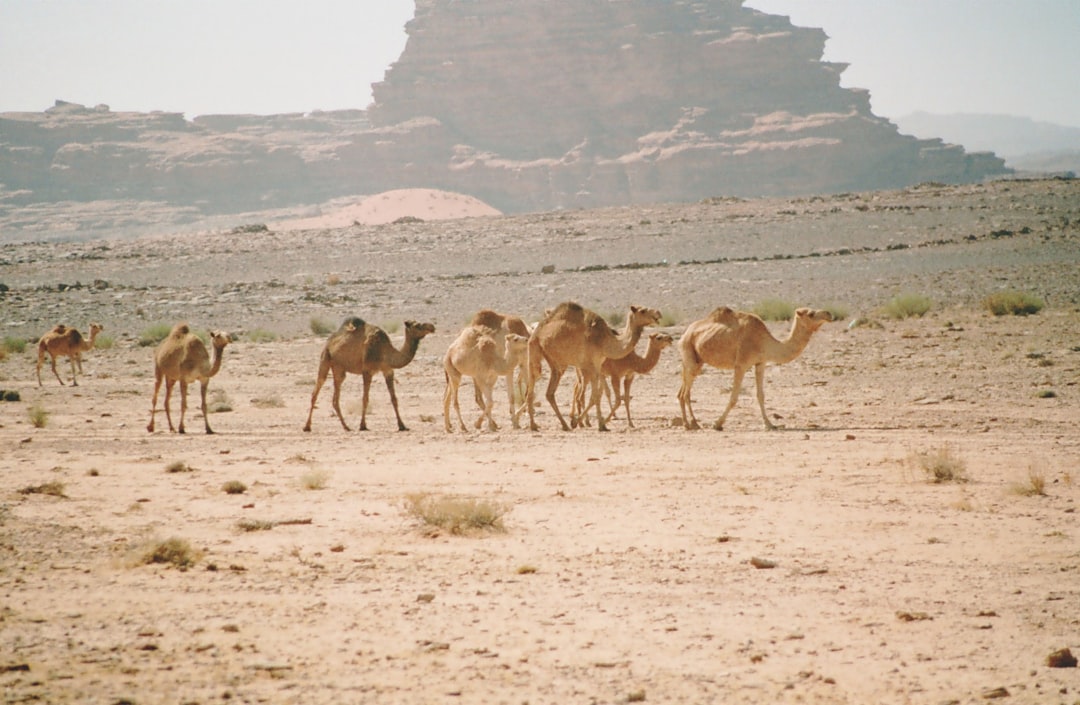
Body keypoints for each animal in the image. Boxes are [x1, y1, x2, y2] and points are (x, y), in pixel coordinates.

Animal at [303, 317, 436, 432]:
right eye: (417, 325)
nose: (432, 327)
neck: (384, 351)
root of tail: (329, 342)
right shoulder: (367, 370)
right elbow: (365, 398)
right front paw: (363, 425)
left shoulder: (388, 370)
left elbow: (394, 399)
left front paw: (402, 425)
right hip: (325, 359)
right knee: (316, 392)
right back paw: (307, 427)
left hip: (339, 369)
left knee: (335, 398)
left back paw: (346, 427)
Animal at [524, 302, 661, 432]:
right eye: (642, 311)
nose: (658, 313)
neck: (604, 341)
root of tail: (536, 332)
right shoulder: (591, 365)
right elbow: (594, 396)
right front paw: (582, 423)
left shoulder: (597, 366)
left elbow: (596, 396)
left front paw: (601, 425)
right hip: (535, 351)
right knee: (533, 386)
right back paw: (535, 425)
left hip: (557, 362)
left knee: (548, 393)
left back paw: (560, 425)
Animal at [677, 306, 833, 431]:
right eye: (811, 314)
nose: (828, 314)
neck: (764, 342)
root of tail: (685, 333)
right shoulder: (741, 364)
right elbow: (734, 397)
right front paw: (717, 424)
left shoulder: (761, 363)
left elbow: (760, 395)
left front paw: (770, 424)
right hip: (689, 352)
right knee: (685, 393)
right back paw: (690, 424)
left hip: (697, 361)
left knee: (683, 392)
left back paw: (691, 423)